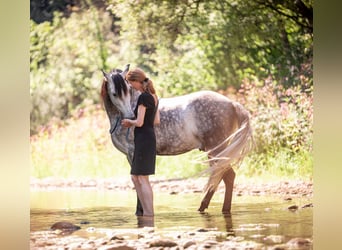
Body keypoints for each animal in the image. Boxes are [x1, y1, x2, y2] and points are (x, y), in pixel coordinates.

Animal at [100, 64, 252, 215]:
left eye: (128, 89)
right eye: (115, 93)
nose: (131, 117)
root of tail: (232, 103)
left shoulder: (132, 153)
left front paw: (140, 211)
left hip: (216, 151)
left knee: (226, 176)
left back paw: (207, 207)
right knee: (224, 176)